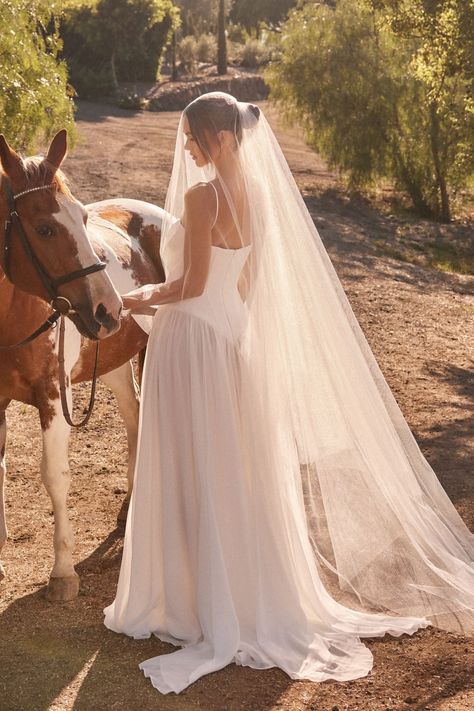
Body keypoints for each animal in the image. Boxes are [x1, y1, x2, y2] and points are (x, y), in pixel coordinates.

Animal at [0, 129, 167, 600]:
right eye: (44, 227)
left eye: (83, 218)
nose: (109, 308)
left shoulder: (55, 397)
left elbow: (56, 477)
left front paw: (63, 573)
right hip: (111, 363)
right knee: (134, 416)